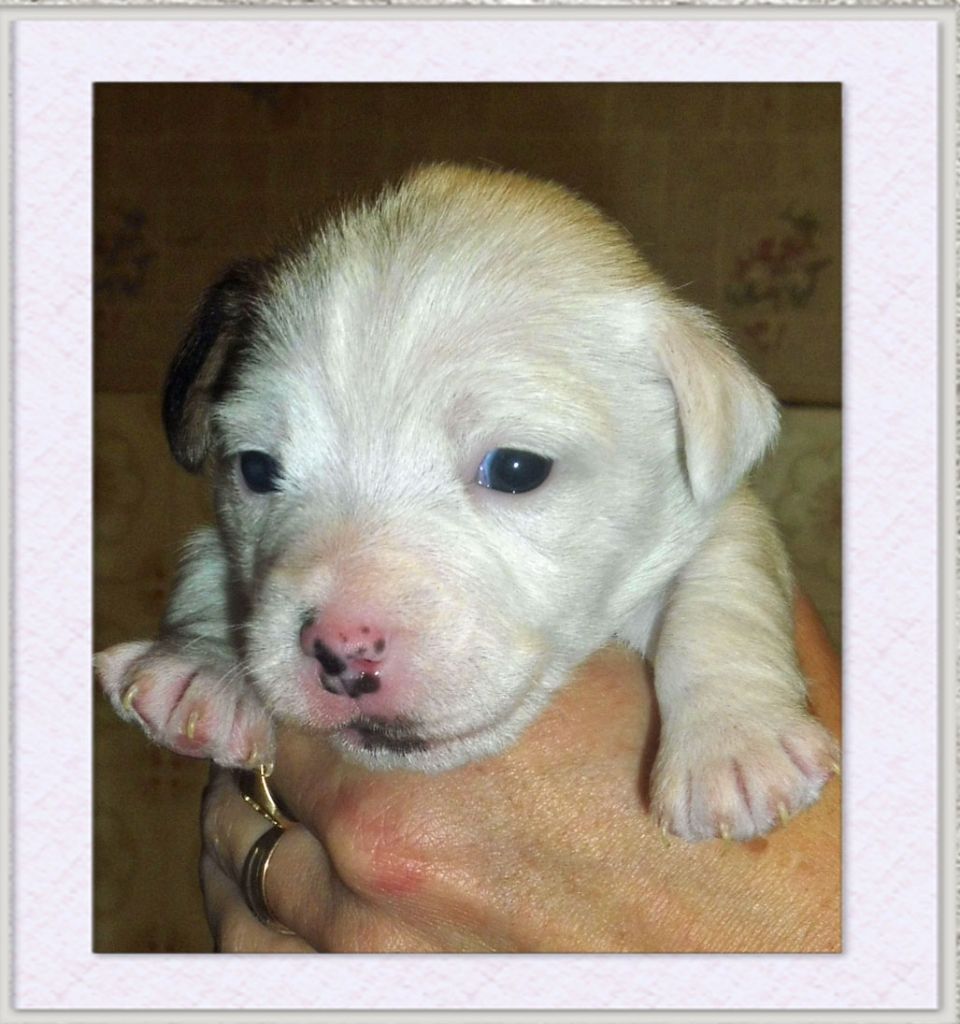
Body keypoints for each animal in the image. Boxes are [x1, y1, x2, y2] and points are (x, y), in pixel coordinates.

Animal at [96, 164, 839, 841]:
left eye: (515, 469)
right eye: (256, 468)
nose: (340, 652)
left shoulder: (721, 523)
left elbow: (720, 598)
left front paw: (735, 744)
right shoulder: (219, 538)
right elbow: (207, 566)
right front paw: (199, 669)